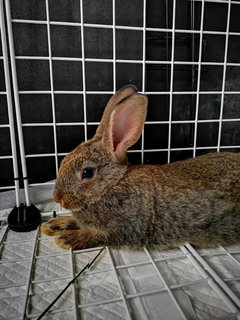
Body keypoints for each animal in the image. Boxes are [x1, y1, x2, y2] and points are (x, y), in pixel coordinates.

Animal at [42, 85, 240, 250]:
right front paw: (54, 224)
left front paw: (67, 239)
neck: (112, 185)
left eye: (87, 173)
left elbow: (97, 236)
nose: (58, 198)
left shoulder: (124, 228)